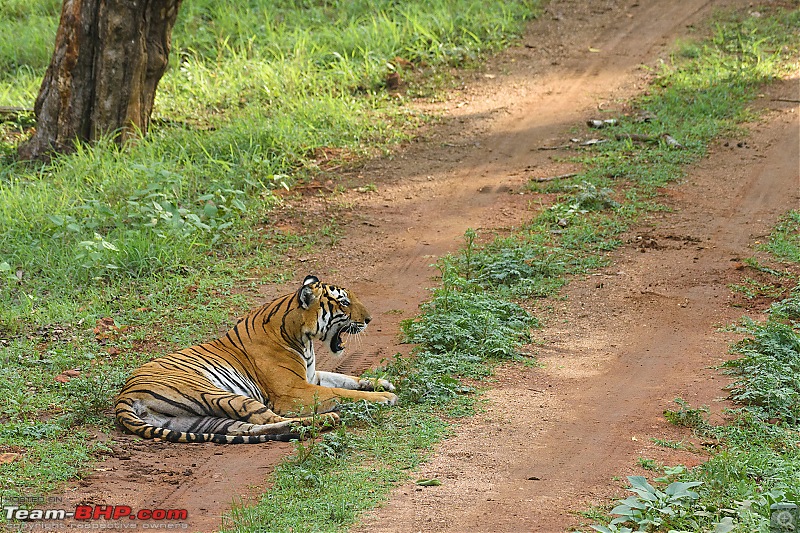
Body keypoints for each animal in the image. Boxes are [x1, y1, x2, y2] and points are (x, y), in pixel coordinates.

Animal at [115, 276, 396, 442]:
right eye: (345, 302)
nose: (369, 319)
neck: (301, 337)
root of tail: (124, 395)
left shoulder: (311, 376)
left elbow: (345, 379)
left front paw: (382, 383)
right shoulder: (293, 391)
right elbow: (342, 393)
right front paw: (385, 397)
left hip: (199, 419)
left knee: (251, 427)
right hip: (216, 393)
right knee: (268, 418)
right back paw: (327, 419)